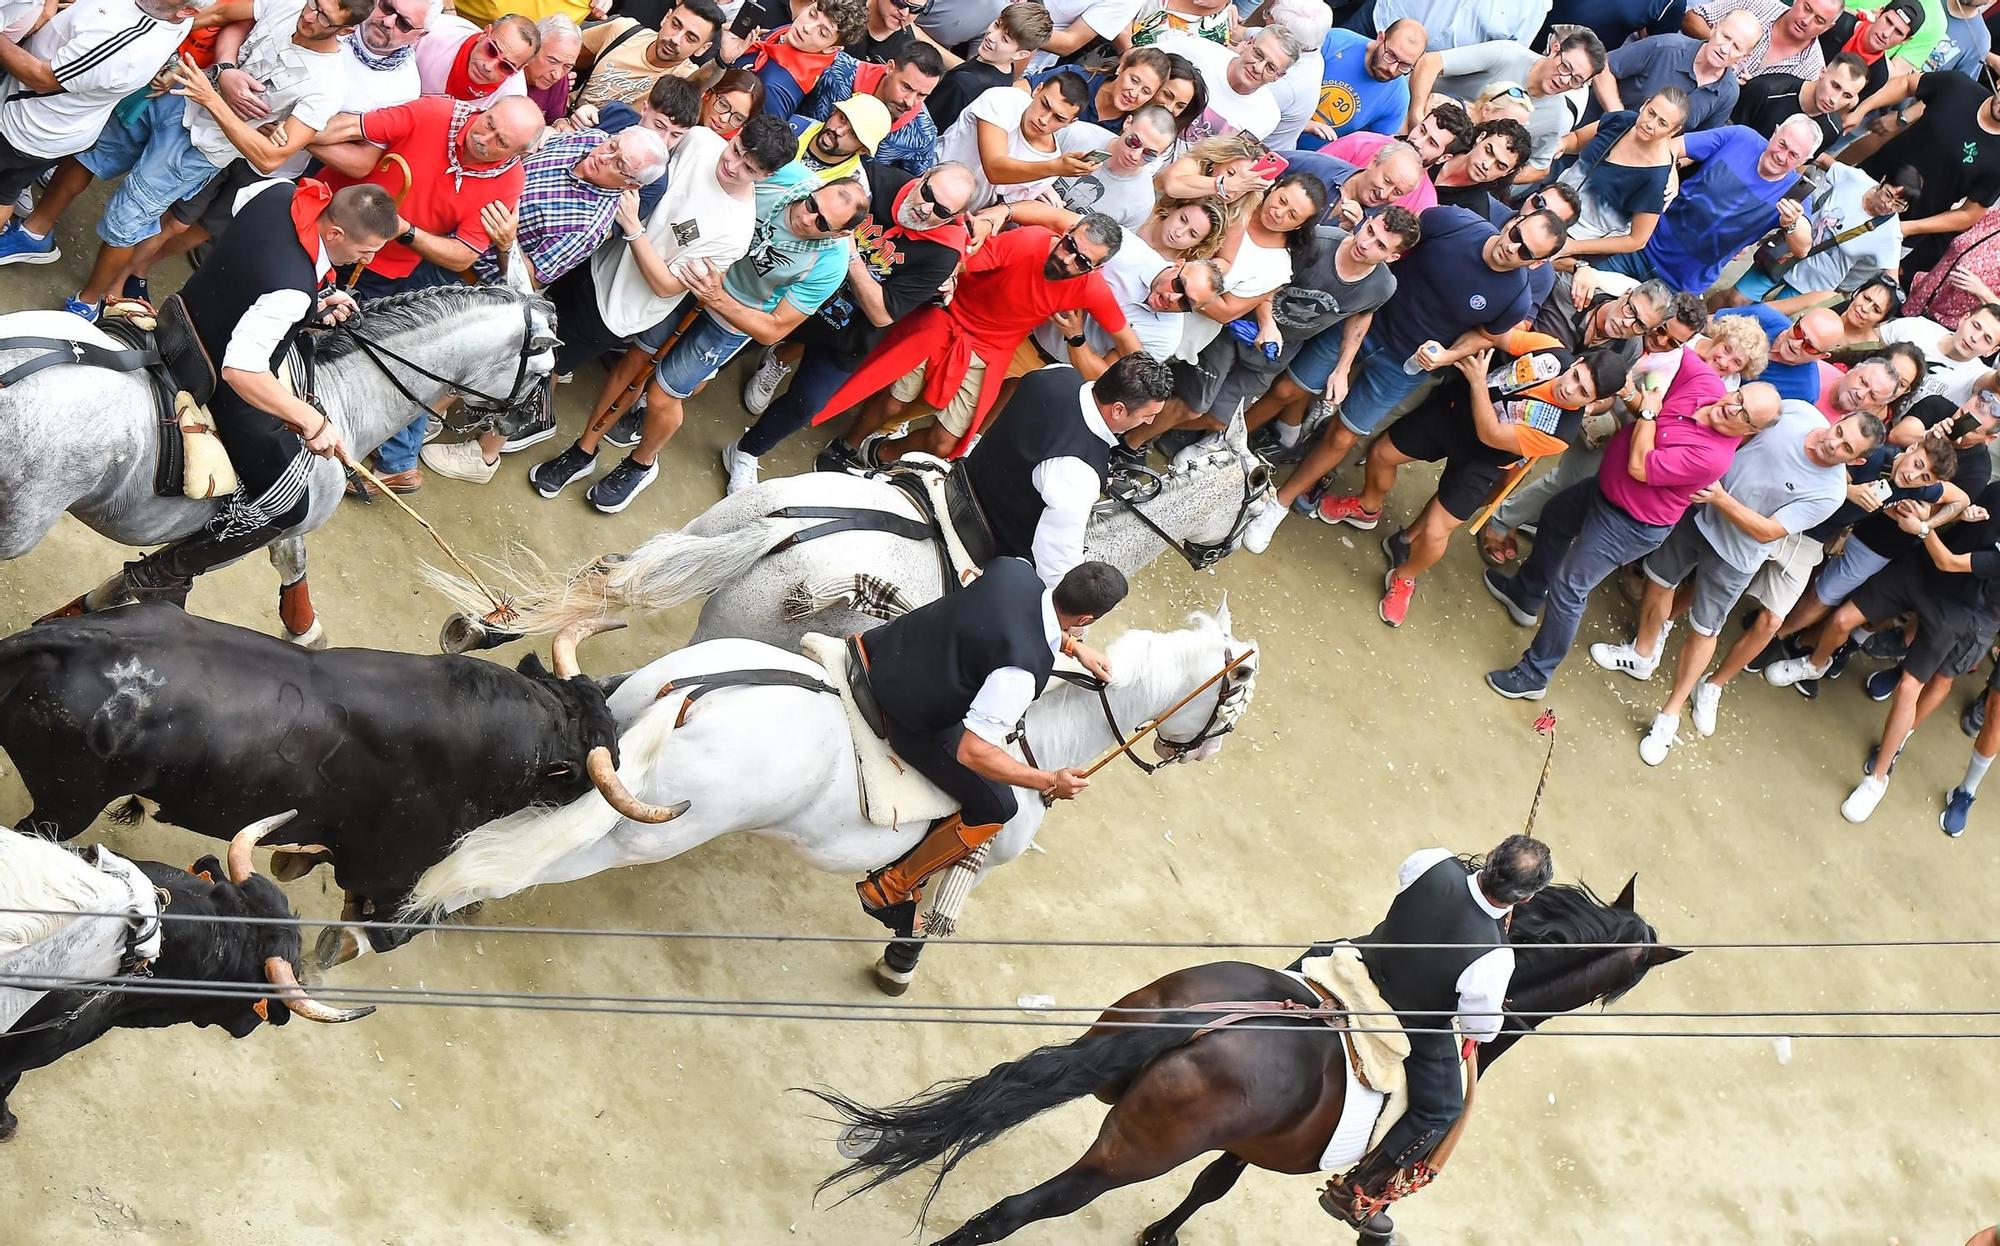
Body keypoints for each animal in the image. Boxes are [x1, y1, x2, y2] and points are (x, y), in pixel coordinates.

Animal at [0, 288, 556, 648]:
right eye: (544, 371)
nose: (529, 422)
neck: (341, 401)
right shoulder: (259, 521)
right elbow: (143, 584)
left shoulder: (285, 519)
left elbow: (293, 565)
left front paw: (305, 628)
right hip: (18, 526)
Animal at [0, 604, 656, 964]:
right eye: (586, 764)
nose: (622, 755)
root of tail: (77, 638)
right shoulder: (390, 873)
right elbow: (397, 929)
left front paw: (293, 862)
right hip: (66, 802)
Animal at [398, 608, 1256, 984]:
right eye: (1237, 696)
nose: (1202, 750)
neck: (1039, 732)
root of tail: (703, 692)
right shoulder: (985, 839)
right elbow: (931, 902)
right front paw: (900, 952)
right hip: (636, 836)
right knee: (521, 862)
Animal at [436, 414, 1272, 660]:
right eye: (1259, 498)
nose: (1226, 554)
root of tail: (771, 531)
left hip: (699, 537)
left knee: (611, 577)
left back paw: (483, 628)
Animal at [804, 876, 1680, 1246]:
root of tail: (1200, 1019)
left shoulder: (1249, 1144)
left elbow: (1212, 1186)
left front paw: (1162, 1236)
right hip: (1132, 1153)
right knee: (1014, 1214)